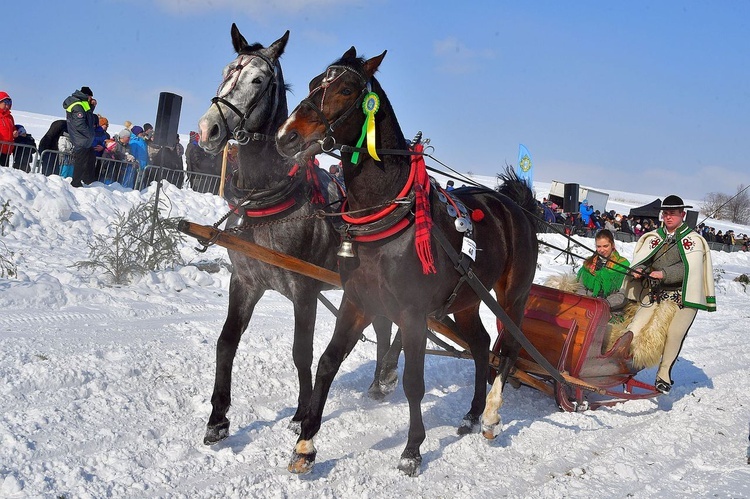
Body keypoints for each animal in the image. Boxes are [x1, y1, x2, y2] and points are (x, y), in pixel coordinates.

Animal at [276, 48, 540, 478]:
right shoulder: (357, 301)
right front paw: (306, 443)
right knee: (481, 344)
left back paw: (491, 416)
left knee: (508, 350)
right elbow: (328, 362)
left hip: (513, 296)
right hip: (466, 299)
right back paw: (471, 413)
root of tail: (517, 207)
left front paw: (412, 449)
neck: (386, 215)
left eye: (345, 89)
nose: (287, 135)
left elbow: (414, 382)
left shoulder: (413, 314)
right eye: (315, 82)